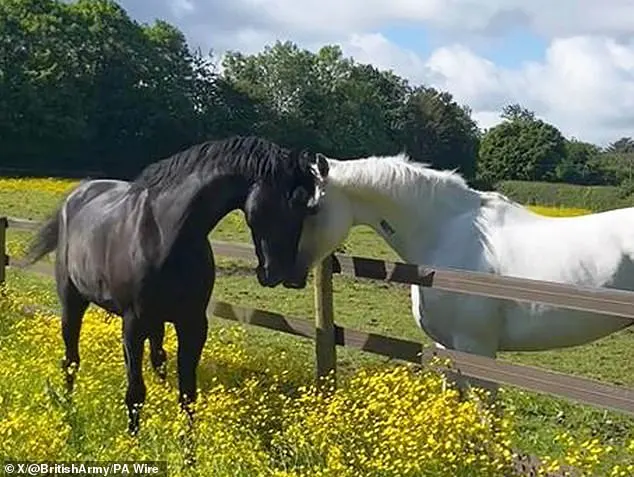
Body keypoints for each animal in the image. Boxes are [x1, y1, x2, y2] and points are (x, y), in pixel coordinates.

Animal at [22, 135, 328, 436]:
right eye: (286, 202)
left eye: (308, 208)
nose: (283, 274)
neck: (164, 234)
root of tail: (76, 195)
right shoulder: (133, 324)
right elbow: (135, 393)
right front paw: (134, 443)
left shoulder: (192, 324)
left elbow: (187, 394)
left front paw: (187, 448)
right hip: (73, 303)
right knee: (71, 361)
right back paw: (68, 409)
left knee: (156, 359)